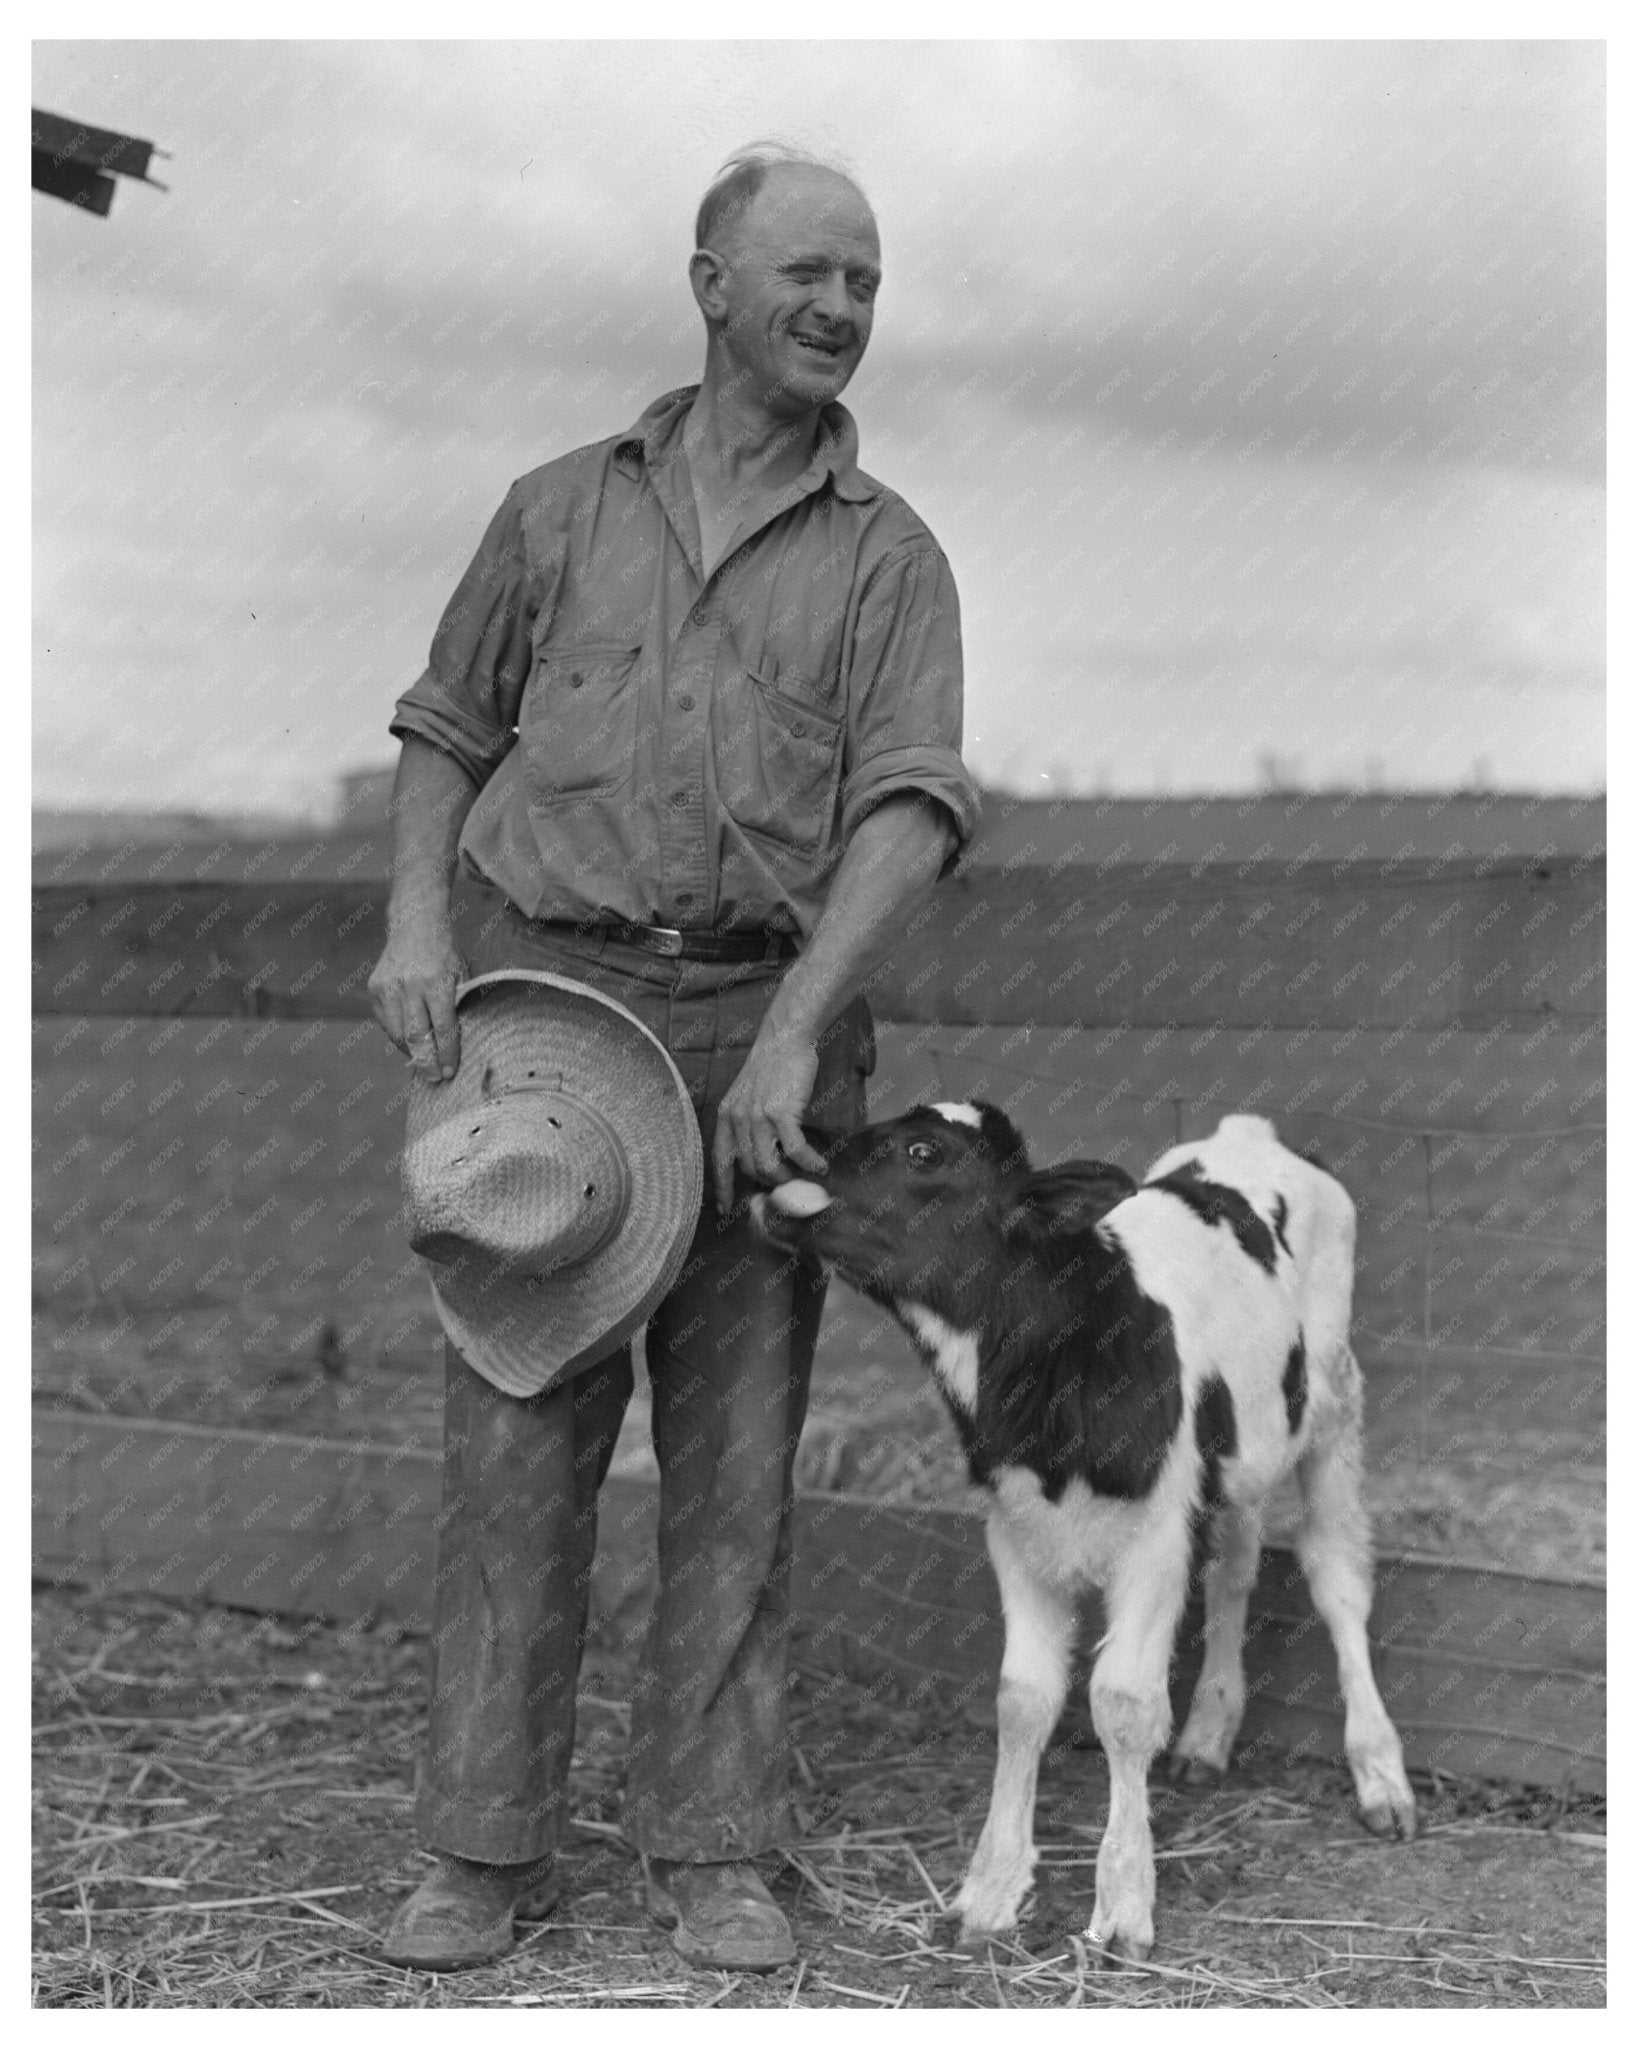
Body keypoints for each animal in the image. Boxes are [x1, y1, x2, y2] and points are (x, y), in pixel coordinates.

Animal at [753, 1114, 1408, 1957]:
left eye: (924, 1152)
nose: (792, 1142)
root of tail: (1250, 1132)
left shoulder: (1156, 1538)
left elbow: (1123, 1703)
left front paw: (1125, 1903)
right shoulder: (1018, 1529)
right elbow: (1023, 1700)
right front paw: (991, 1889)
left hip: (1331, 1407)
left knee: (1337, 1582)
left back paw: (1380, 1774)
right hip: (1237, 1461)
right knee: (1235, 1567)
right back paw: (1208, 1734)